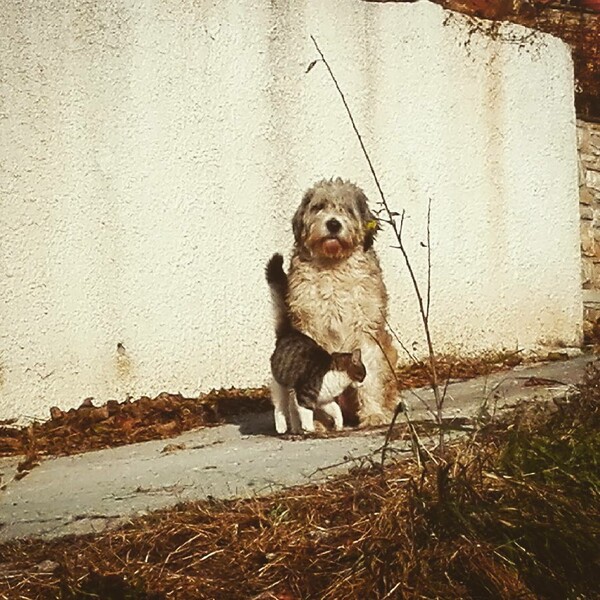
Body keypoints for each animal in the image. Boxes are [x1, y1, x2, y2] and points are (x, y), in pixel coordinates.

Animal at [288, 178, 398, 426]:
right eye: (319, 207)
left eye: (347, 209)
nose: (333, 224)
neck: (333, 266)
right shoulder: (308, 327)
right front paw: (315, 422)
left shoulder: (366, 330)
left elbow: (370, 379)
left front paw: (373, 414)